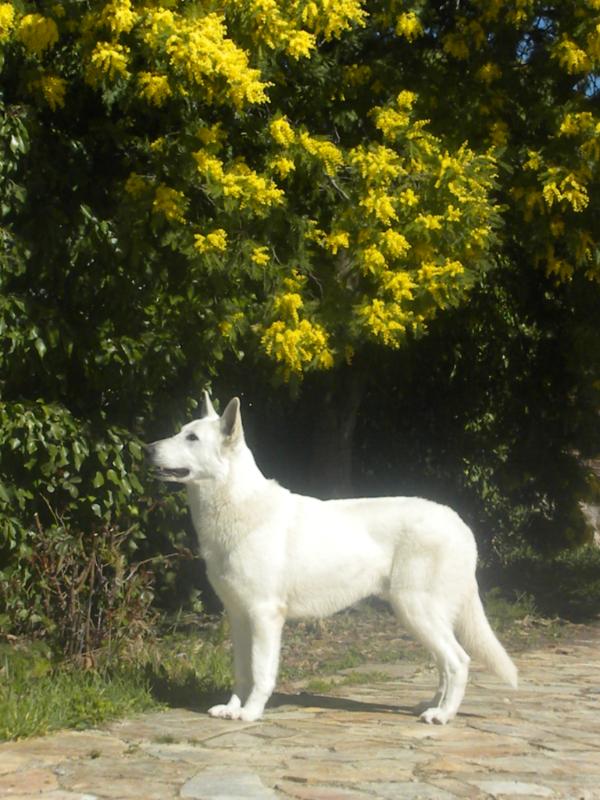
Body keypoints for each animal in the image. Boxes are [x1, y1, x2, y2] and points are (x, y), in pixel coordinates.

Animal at [148, 396, 516, 724]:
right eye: (181, 431)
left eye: (192, 438)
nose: (147, 448)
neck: (236, 505)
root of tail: (460, 525)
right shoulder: (237, 616)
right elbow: (241, 671)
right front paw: (232, 708)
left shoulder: (265, 615)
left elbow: (261, 671)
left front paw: (250, 713)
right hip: (423, 615)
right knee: (444, 664)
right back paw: (431, 705)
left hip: (415, 609)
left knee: (458, 661)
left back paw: (443, 715)